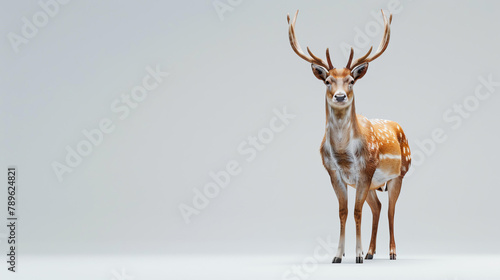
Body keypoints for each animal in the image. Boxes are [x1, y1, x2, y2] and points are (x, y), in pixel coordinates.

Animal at [290, 9, 410, 264]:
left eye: (351, 81)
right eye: (327, 81)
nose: (340, 96)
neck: (344, 153)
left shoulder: (366, 169)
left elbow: (357, 211)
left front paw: (357, 255)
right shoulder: (334, 173)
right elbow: (343, 211)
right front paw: (338, 255)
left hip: (399, 173)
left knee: (391, 209)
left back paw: (392, 252)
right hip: (373, 183)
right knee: (378, 207)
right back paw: (372, 252)